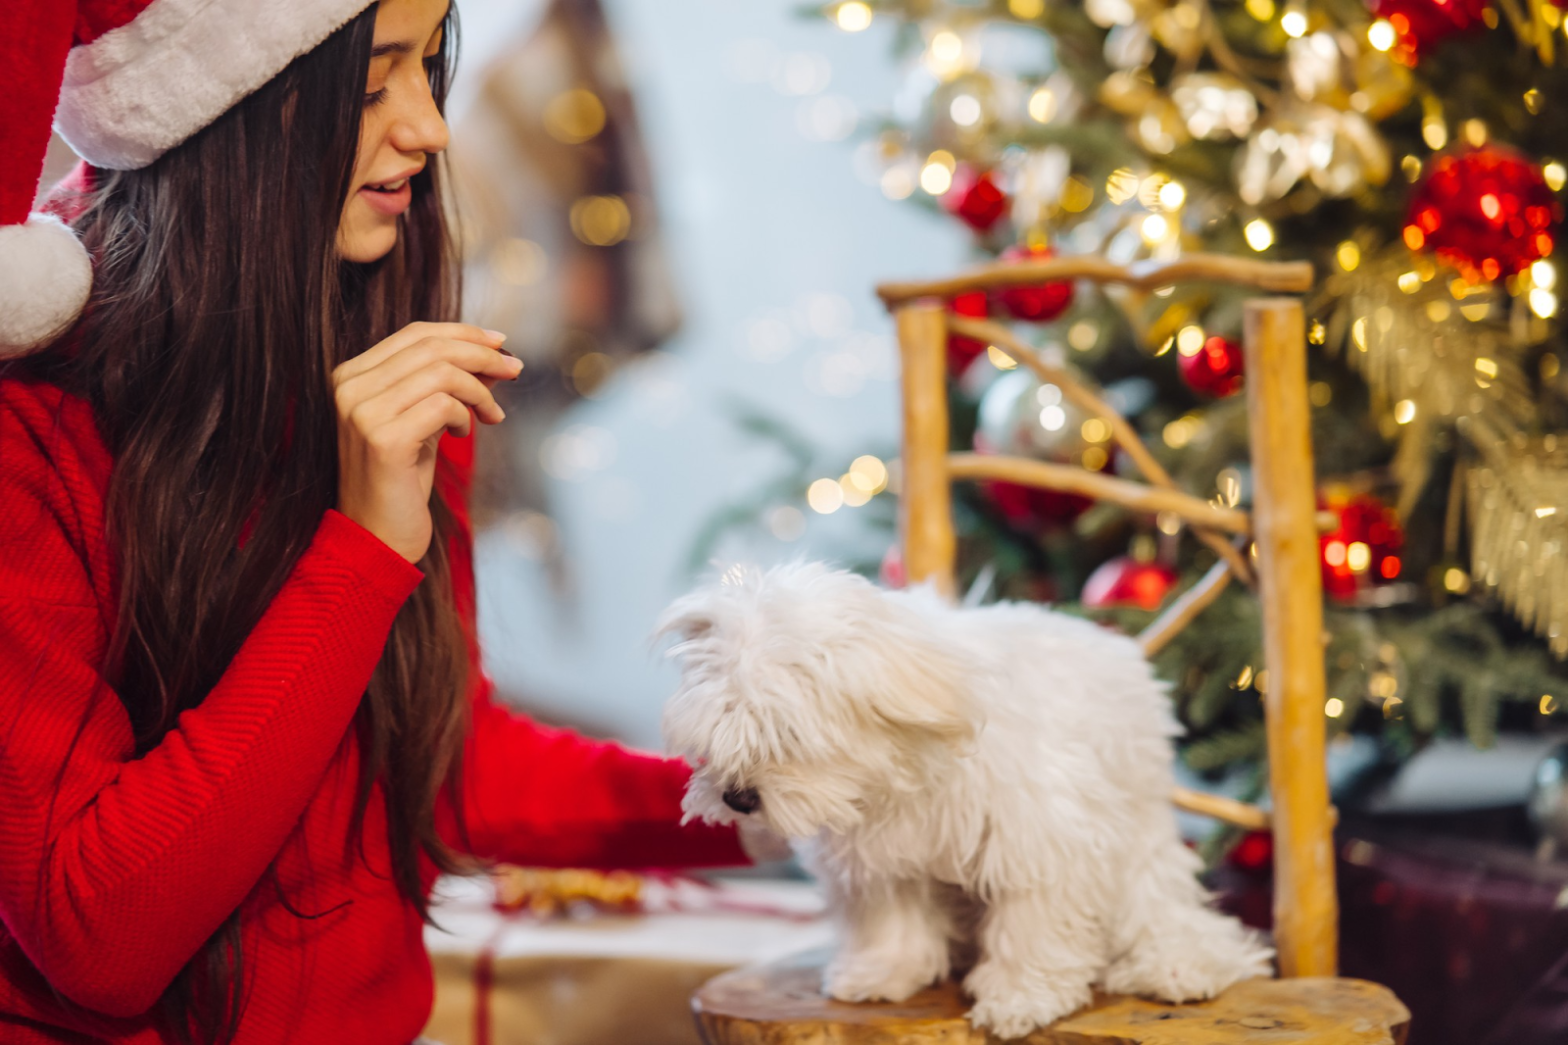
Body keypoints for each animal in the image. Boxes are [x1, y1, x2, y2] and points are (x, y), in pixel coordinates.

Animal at [661, 561, 1273, 1035]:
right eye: (711, 740)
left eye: (785, 735)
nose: (738, 798)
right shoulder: (879, 857)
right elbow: (893, 918)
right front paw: (883, 973)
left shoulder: (1039, 840)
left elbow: (1032, 924)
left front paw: (1022, 999)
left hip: (1140, 857)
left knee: (1172, 919)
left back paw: (1176, 966)